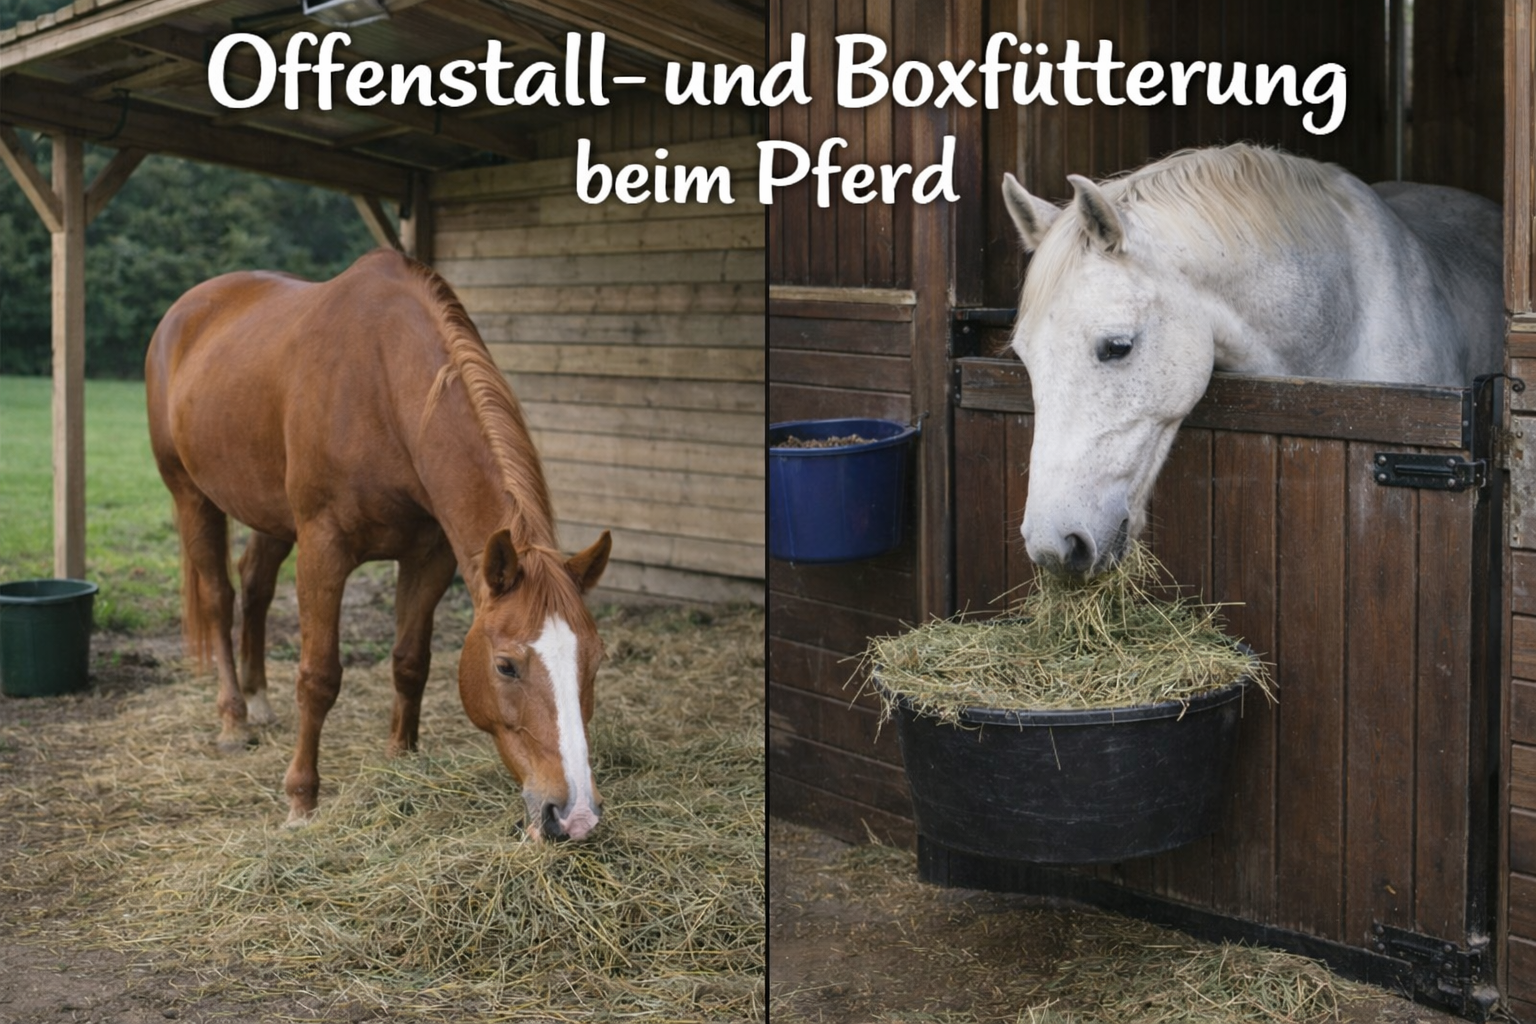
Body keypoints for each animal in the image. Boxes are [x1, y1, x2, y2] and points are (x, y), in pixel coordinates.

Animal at [145, 249, 613, 840]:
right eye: (506, 666)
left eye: (595, 659)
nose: (574, 815)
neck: (384, 386)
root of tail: (184, 311)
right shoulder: (323, 548)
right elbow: (319, 676)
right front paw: (301, 801)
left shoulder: (430, 555)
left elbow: (410, 661)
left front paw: (401, 759)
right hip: (191, 495)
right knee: (218, 597)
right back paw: (234, 721)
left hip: (268, 513)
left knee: (254, 586)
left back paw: (259, 698)